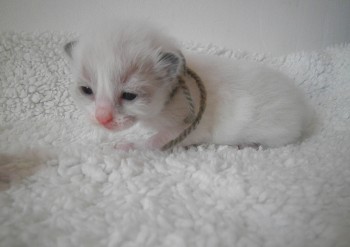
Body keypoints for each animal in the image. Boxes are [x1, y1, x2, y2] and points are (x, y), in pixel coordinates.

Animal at [64, 19, 314, 151]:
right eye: (87, 91)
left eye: (129, 95)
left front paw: (131, 145)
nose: (102, 118)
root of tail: (302, 105)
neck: (172, 93)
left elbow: (155, 141)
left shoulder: (191, 127)